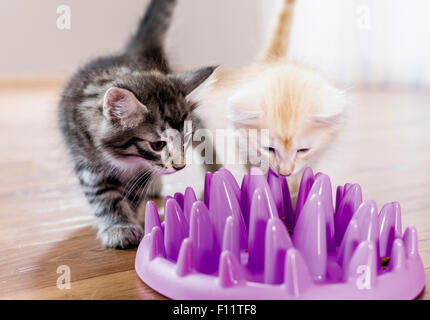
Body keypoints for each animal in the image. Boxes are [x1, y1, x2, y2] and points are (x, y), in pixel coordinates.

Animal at [58, 0, 215, 249]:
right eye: (158, 145)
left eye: (185, 138)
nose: (180, 166)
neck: (125, 159)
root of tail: (132, 51)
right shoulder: (87, 161)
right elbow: (104, 196)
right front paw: (118, 226)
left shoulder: (142, 169)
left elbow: (132, 193)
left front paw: (128, 218)